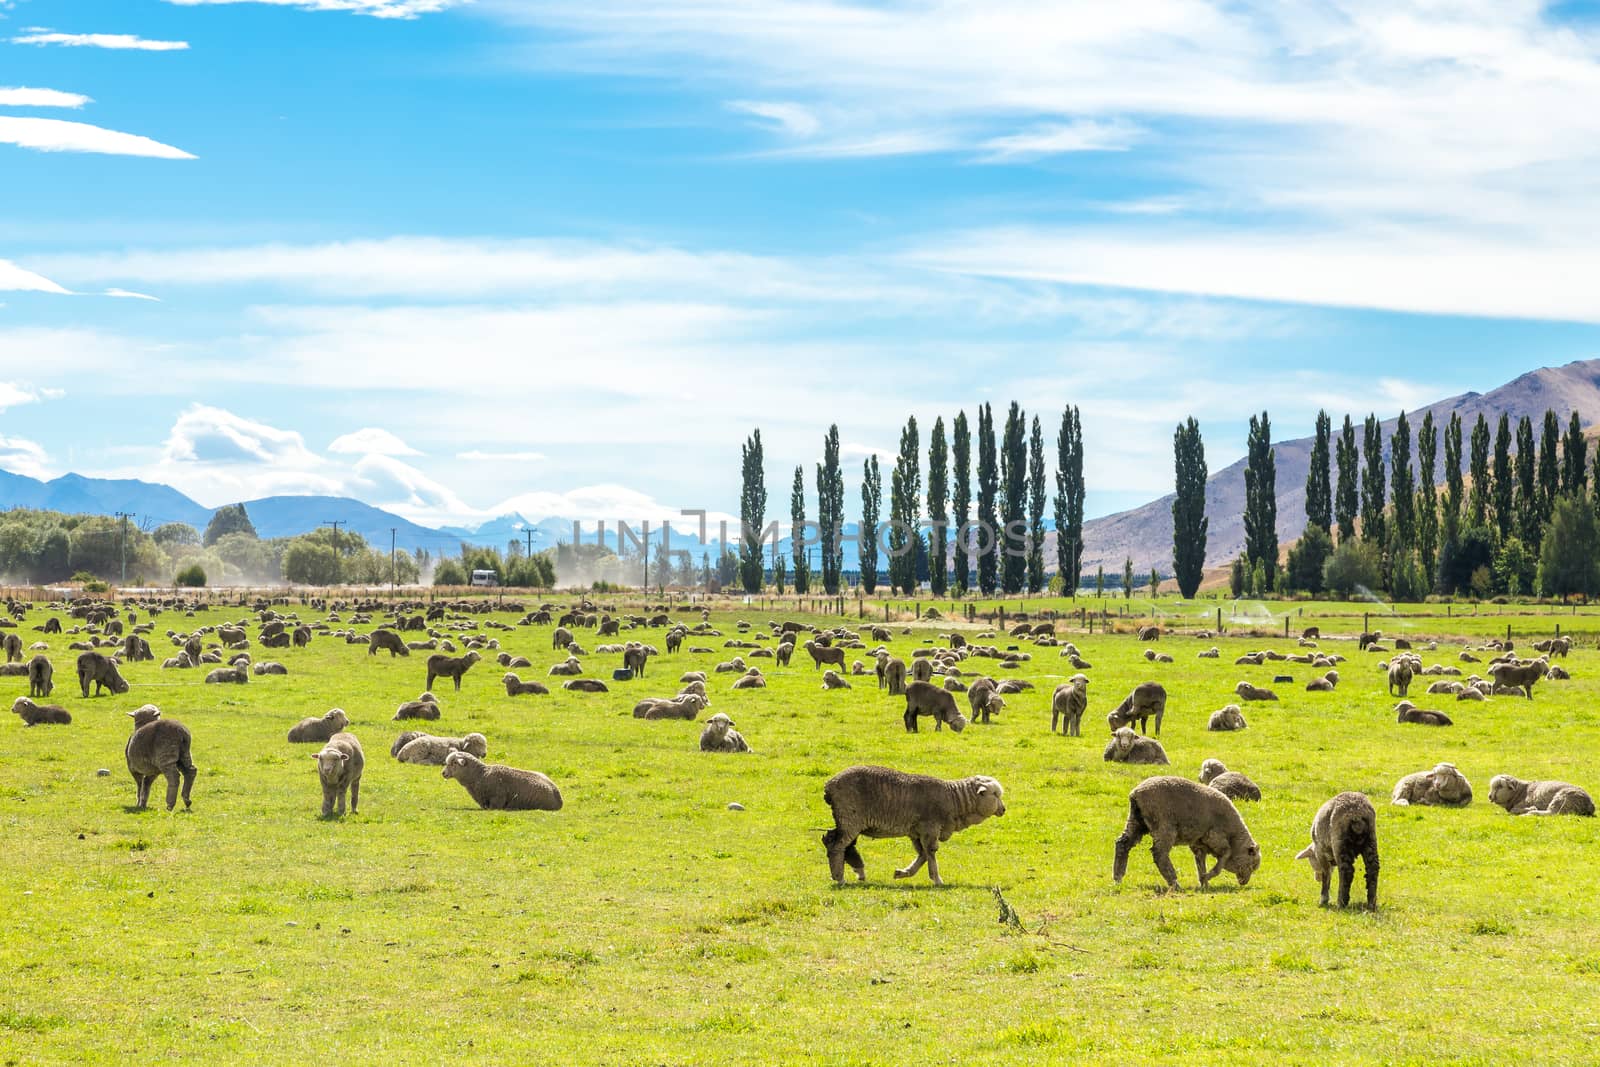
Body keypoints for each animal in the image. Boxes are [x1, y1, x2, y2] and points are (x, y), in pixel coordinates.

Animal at [819, 764, 1004, 889]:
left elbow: (922, 854)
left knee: (835, 841)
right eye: (995, 794)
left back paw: (858, 871)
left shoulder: (917, 831)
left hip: (847, 819)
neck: (953, 800)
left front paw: (903, 873)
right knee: (837, 846)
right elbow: (930, 852)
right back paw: (840, 877)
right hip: (850, 816)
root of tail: (828, 786)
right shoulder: (930, 827)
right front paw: (937, 880)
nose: (1003, 809)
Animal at [1113, 777, 1260, 895]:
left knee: (1122, 844)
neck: (1234, 836)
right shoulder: (1215, 837)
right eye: (1252, 865)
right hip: (1163, 825)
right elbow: (1224, 857)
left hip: (1137, 821)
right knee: (1159, 854)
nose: (1244, 882)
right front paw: (1209, 876)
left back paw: (1118, 877)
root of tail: (1136, 794)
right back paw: (1175, 884)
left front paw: (1204, 883)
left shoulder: (1199, 844)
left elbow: (1200, 863)